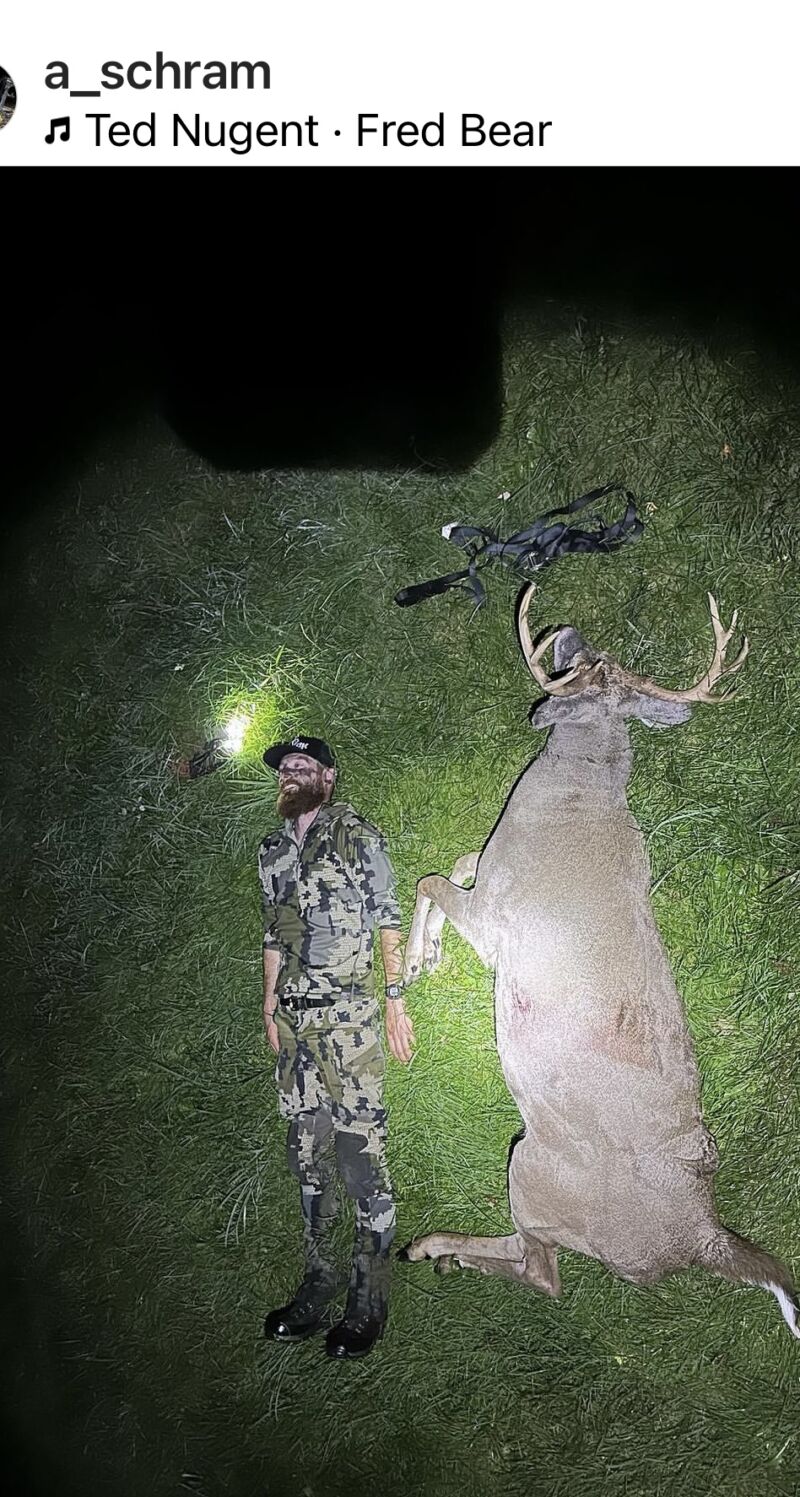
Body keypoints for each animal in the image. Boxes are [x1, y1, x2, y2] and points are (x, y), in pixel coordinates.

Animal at [401, 589, 799, 1339]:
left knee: (544, 1271)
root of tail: (701, 1239)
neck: (572, 799)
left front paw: (411, 966)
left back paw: (431, 1246)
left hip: (536, 1168)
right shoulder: (489, 875)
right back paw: (439, 1252)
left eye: (590, 681)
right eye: (586, 662)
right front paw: (427, 954)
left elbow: (431, 879)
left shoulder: (499, 922)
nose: (566, 637)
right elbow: (458, 861)